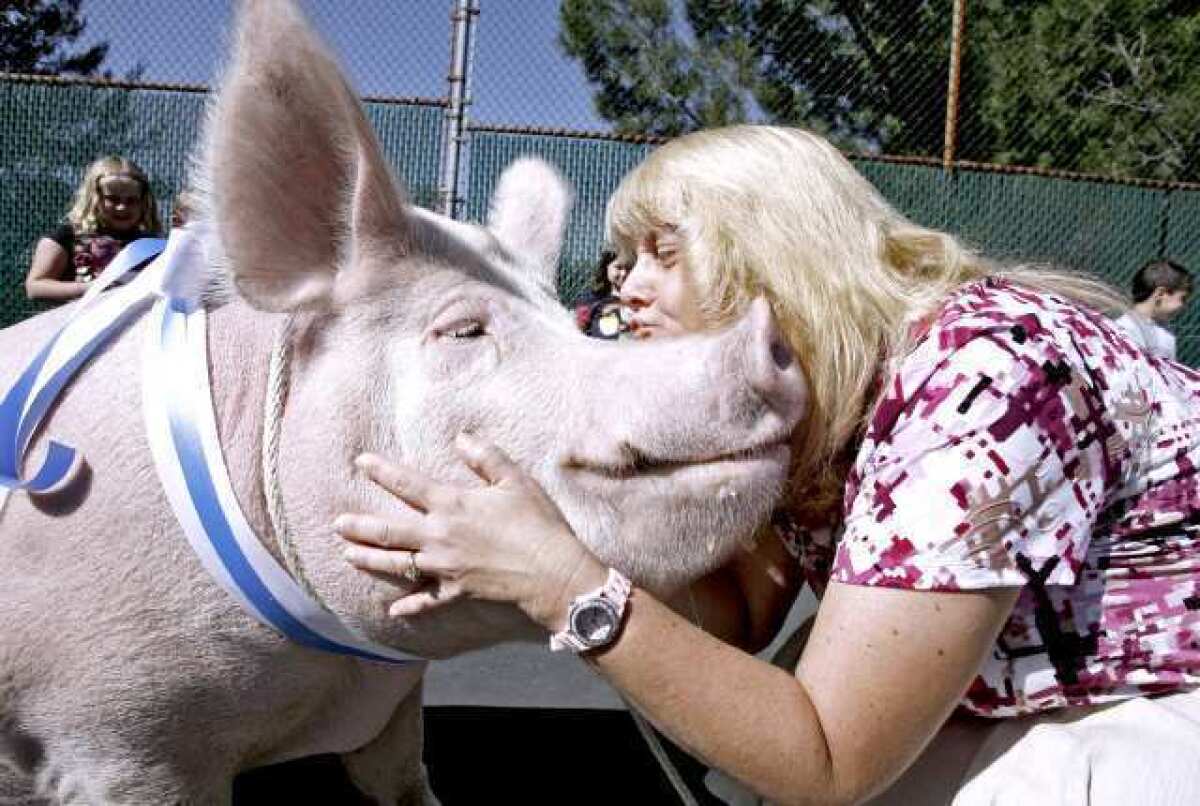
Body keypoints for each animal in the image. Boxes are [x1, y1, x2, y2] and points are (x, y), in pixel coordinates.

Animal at [2, 1, 806, 801]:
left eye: (561, 316)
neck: (319, 684)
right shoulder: (120, 740)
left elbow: (401, 779)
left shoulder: (391, 704)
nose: (766, 334)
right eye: (463, 330)